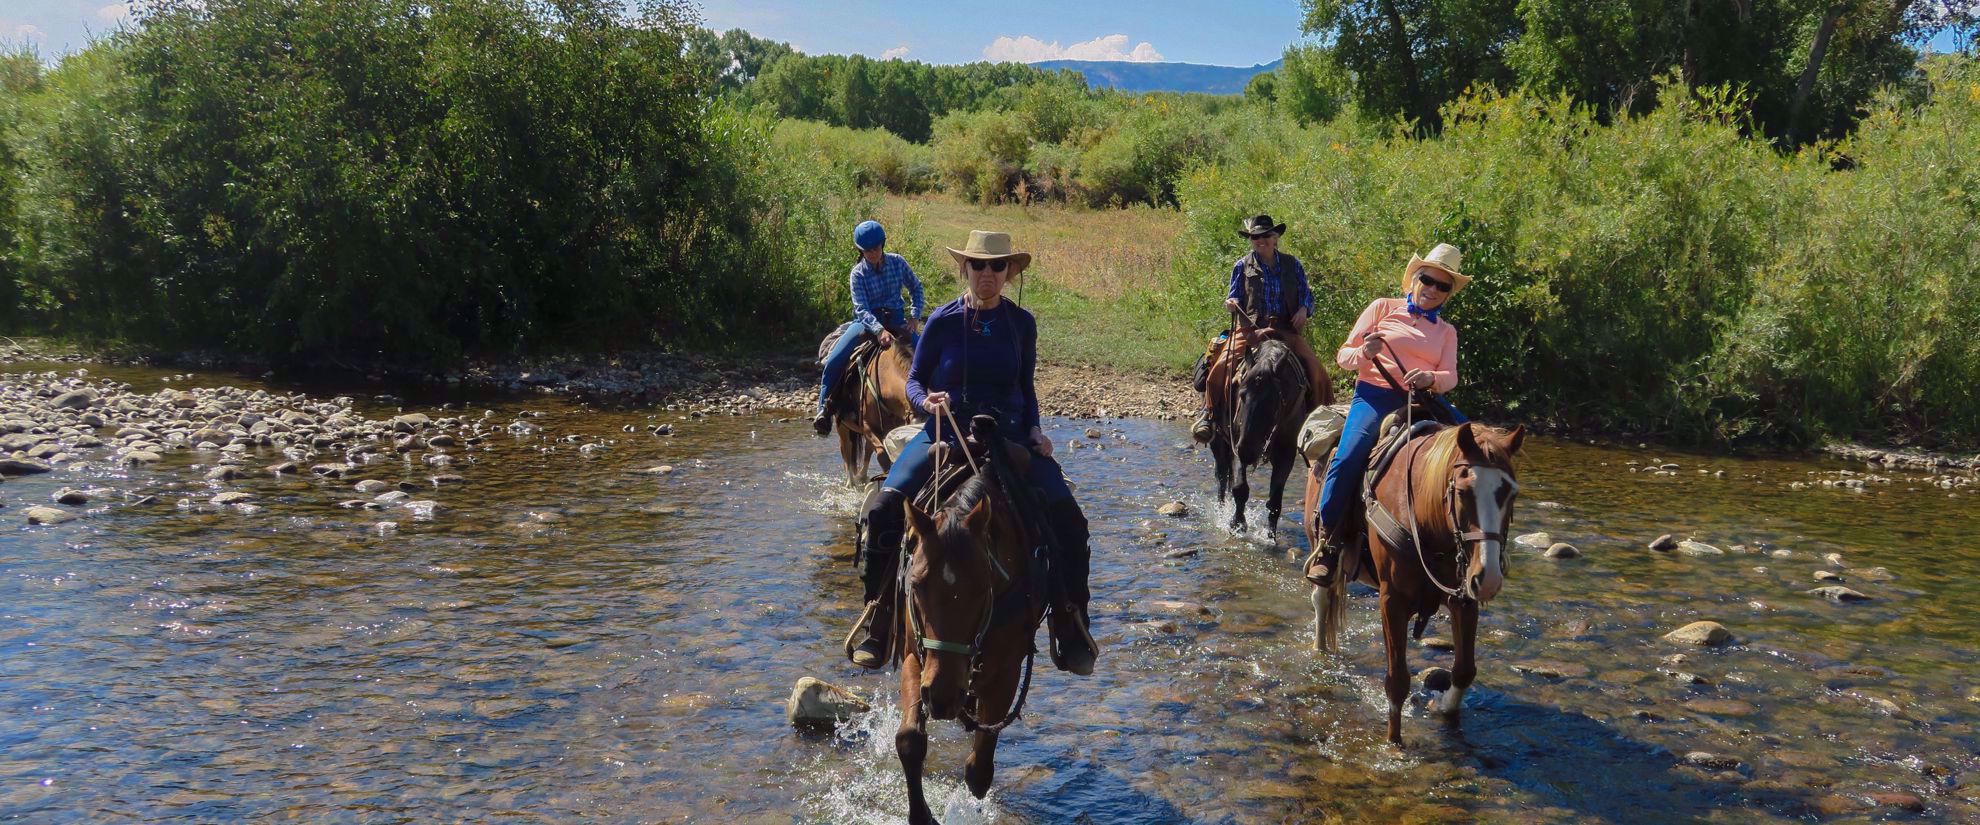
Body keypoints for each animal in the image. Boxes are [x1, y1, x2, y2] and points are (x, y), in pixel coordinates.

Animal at [831, 334, 914, 484]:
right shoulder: (866, 425)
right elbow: (882, 454)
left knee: (865, 450)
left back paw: (862, 477)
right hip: (842, 425)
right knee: (846, 449)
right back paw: (850, 482)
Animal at [898, 462, 1053, 823]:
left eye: (983, 587)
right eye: (918, 584)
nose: (942, 696)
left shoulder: (1006, 672)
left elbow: (978, 770)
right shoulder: (915, 656)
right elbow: (909, 740)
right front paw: (921, 815)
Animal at [1203, 330, 1314, 538]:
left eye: (1273, 401)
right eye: (1241, 394)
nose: (1247, 451)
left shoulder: (1286, 455)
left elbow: (1275, 502)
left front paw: (1271, 536)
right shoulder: (1236, 445)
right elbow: (1240, 489)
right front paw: (1237, 524)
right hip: (1218, 441)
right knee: (1221, 476)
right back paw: (1221, 513)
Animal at [1306, 421, 1520, 743]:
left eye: (1511, 494)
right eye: (1462, 491)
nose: (1490, 578)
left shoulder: (1463, 598)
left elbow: (1464, 670)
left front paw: (1442, 707)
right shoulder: (1392, 601)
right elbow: (1397, 681)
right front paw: (1393, 742)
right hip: (1317, 543)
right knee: (1321, 600)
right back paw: (1320, 649)